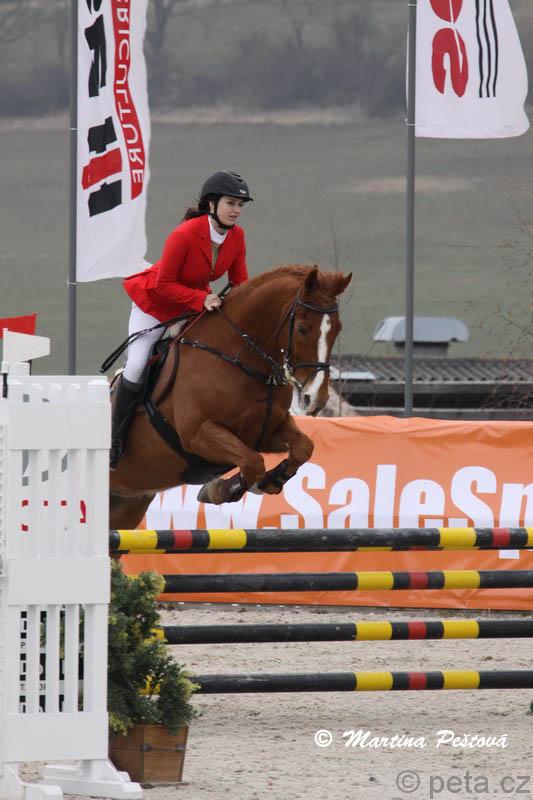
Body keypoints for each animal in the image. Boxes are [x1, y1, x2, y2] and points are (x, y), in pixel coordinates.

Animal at [110, 264, 351, 528]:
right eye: (302, 329)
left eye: (338, 329)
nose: (315, 398)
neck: (243, 362)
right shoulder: (198, 435)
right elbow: (253, 463)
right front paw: (219, 490)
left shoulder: (268, 431)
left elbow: (303, 448)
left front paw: (270, 481)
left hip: (128, 503)